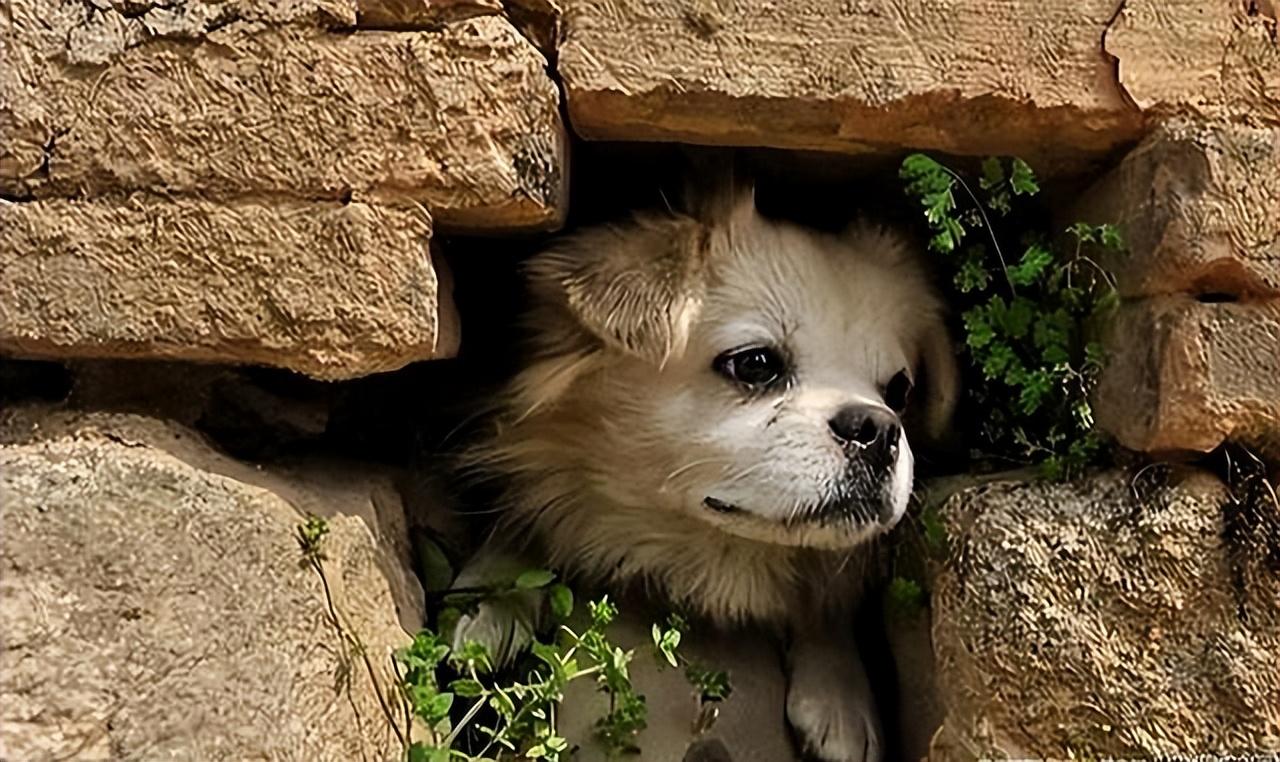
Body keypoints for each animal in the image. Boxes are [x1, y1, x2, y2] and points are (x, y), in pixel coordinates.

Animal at [445, 174, 957, 762]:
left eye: (899, 391)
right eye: (755, 364)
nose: (876, 428)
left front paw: (840, 694)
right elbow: (524, 509)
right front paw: (492, 599)